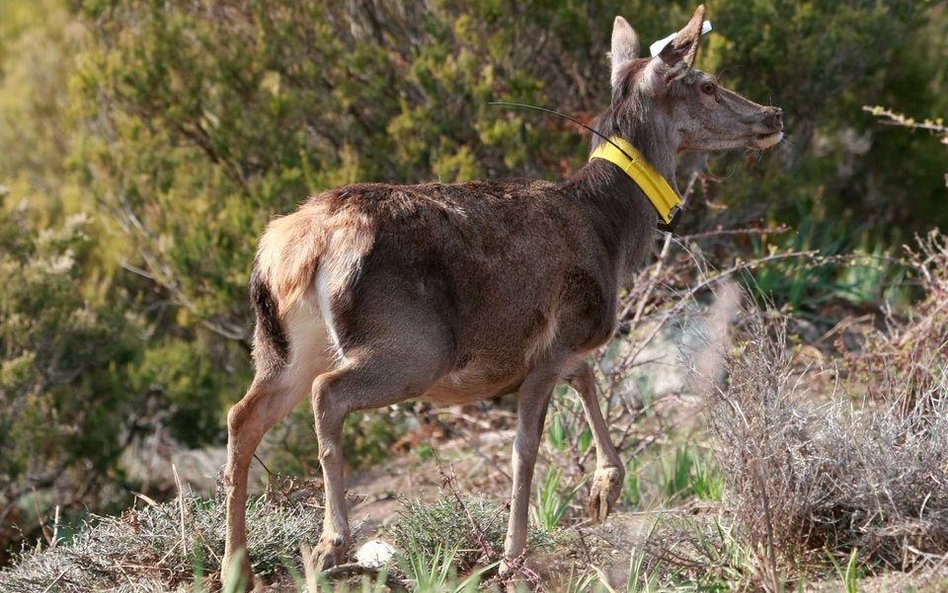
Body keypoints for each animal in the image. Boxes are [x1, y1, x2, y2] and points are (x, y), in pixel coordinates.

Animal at [218, 4, 780, 584]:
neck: (609, 231)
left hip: (284, 346)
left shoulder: (556, 346)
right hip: (411, 345)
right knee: (326, 395)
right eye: (708, 84)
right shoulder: (560, 337)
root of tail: (296, 246)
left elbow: (586, 378)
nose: (773, 115)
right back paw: (331, 543)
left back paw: (236, 564)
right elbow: (526, 446)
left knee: (243, 415)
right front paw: (513, 555)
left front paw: (605, 488)